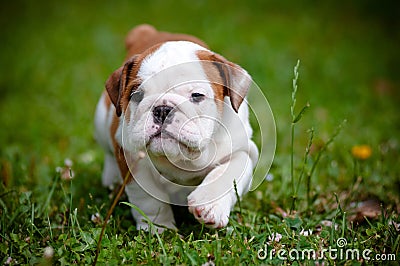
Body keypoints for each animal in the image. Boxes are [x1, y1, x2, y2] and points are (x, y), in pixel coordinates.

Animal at [94, 25, 260, 231]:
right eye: (136, 95)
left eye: (197, 95)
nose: (162, 109)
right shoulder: (133, 160)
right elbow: (148, 199)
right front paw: (158, 228)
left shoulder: (245, 150)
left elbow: (228, 172)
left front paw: (210, 205)